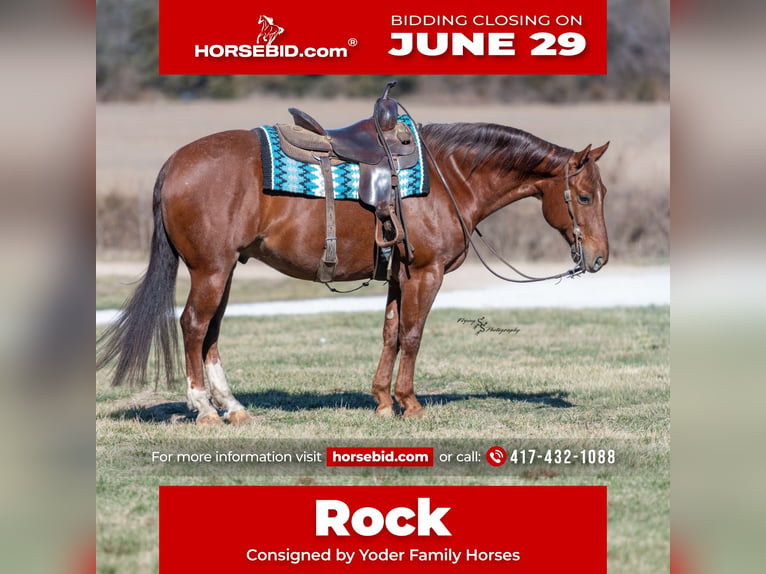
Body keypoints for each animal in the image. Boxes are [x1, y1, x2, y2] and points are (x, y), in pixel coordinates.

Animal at [96, 119, 610, 425]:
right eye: (584, 197)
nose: (600, 258)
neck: (449, 178)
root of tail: (173, 163)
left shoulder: (400, 276)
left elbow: (391, 333)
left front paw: (382, 400)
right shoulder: (427, 273)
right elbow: (413, 335)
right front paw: (410, 403)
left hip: (223, 271)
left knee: (211, 332)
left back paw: (234, 407)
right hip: (210, 270)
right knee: (193, 325)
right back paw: (203, 408)